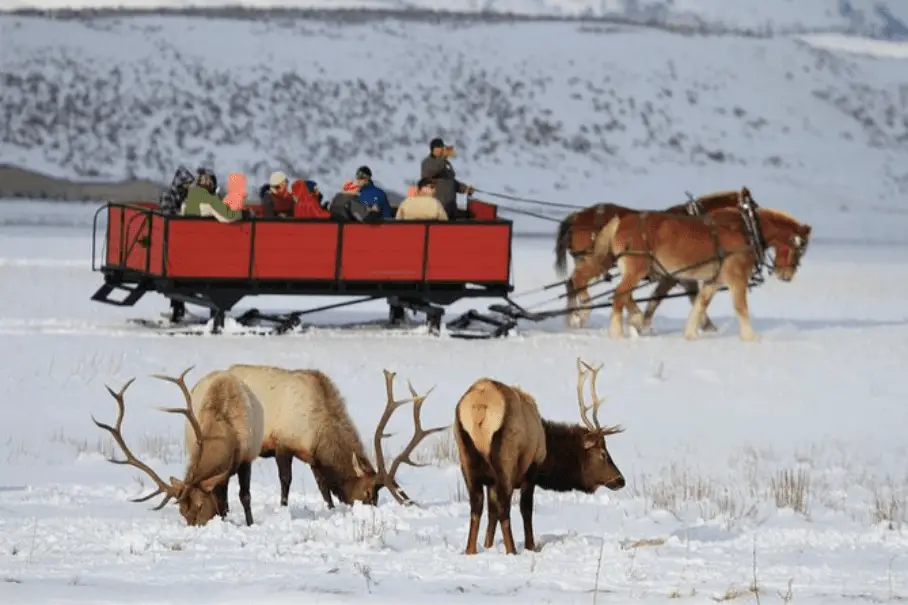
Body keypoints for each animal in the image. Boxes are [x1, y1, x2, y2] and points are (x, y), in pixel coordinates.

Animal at [92, 366, 266, 528]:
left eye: (200, 505)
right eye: (182, 512)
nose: (194, 527)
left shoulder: (247, 458)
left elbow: (244, 496)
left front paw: (250, 524)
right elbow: (222, 502)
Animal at [222, 364, 446, 510]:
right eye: (367, 492)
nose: (369, 509)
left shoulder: (313, 457)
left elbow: (323, 488)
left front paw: (330, 508)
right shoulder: (283, 443)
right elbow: (286, 480)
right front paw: (283, 507)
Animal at [454, 356, 624, 556]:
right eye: (603, 453)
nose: (621, 480)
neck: (548, 452)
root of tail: (480, 408)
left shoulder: (491, 481)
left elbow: (491, 513)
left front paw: (488, 545)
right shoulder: (532, 469)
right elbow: (525, 509)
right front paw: (531, 547)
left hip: (465, 456)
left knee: (476, 505)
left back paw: (470, 551)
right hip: (505, 460)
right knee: (505, 508)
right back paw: (512, 551)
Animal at [552, 188, 760, 330]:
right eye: (753, 211)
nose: (754, 241)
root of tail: (577, 217)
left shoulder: (682, 276)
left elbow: (690, 298)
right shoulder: (672, 276)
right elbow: (658, 298)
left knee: (572, 283)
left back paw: (573, 317)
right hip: (601, 259)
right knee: (580, 281)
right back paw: (583, 313)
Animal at [592, 205, 812, 340]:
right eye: (800, 248)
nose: (787, 276)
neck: (747, 230)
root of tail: (621, 221)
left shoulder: (713, 281)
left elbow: (700, 304)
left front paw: (690, 334)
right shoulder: (737, 278)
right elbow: (741, 308)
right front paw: (751, 337)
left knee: (626, 296)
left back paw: (636, 319)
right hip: (637, 269)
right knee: (619, 295)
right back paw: (617, 332)